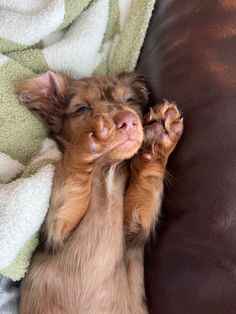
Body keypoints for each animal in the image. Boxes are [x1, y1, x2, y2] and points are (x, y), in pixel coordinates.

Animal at [17, 72, 183, 314]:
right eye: (82, 108)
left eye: (129, 100)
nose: (128, 120)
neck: (106, 169)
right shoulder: (57, 228)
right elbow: (71, 177)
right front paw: (87, 141)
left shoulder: (134, 226)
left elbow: (147, 181)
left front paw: (160, 136)